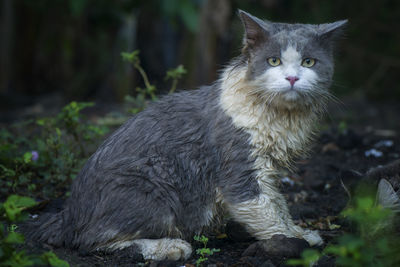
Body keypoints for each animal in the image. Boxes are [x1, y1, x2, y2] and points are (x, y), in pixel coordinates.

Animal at [29, 9, 346, 262]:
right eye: (274, 61)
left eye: (309, 62)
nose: (292, 78)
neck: (282, 118)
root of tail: (67, 213)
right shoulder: (241, 171)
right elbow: (266, 214)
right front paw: (294, 241)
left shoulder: (269, 172)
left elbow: (279, 205)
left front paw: (301, 232)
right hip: (150, 189)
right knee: (91, 241)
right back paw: (169, 247)